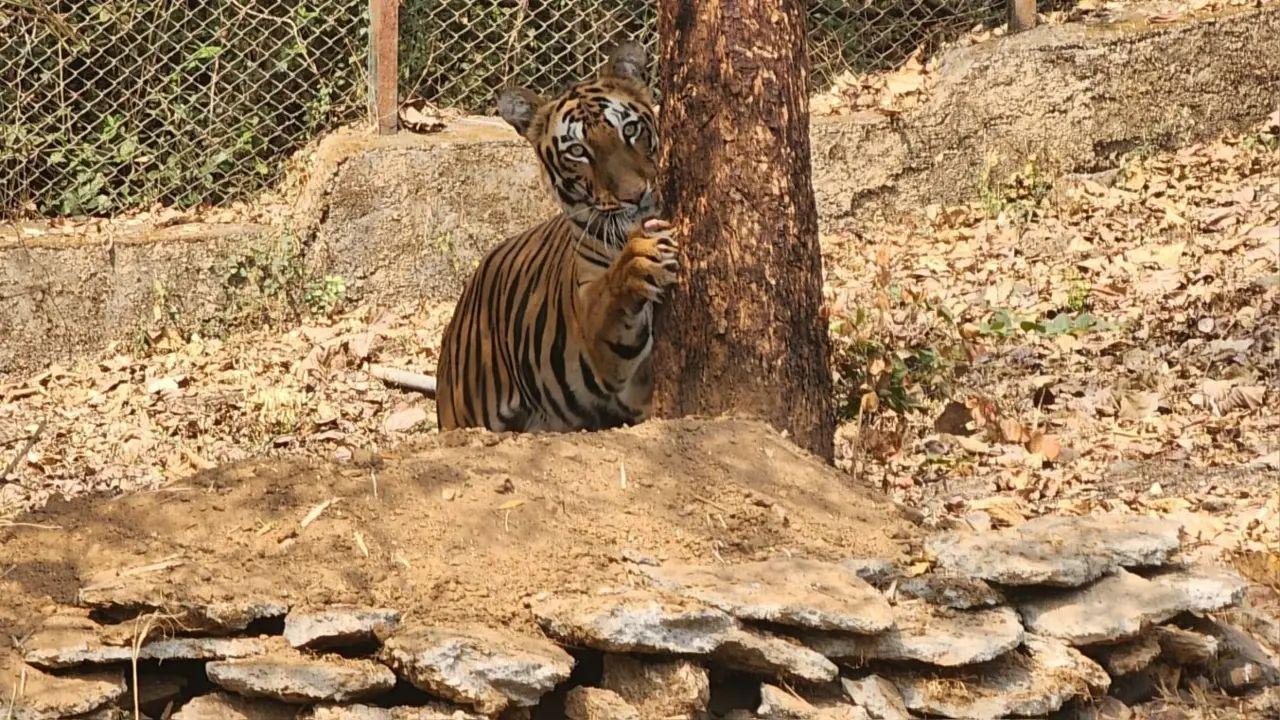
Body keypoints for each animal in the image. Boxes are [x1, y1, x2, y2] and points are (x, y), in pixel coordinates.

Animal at [433, 42, 679, 433]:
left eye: (630, 129)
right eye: (578, 151)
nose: (635, 195)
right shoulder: (599, 339)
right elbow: (609, 299)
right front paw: (641, 260)